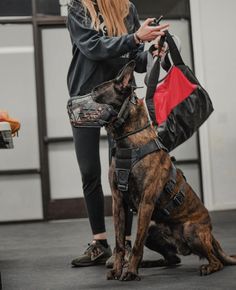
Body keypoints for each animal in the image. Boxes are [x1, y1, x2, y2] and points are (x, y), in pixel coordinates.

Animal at [92, 61, 236, 280]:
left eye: (96, 90)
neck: (130, 141)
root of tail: (211, 235)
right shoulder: (118, 202)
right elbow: (119, 242)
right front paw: (118, 270)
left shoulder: (146, 202)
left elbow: (136, 245)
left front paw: (130, 272)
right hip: (153, 230)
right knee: (173, 258)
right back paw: (151, 263)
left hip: (190, 230)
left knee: (215, 261)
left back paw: (207, 267)